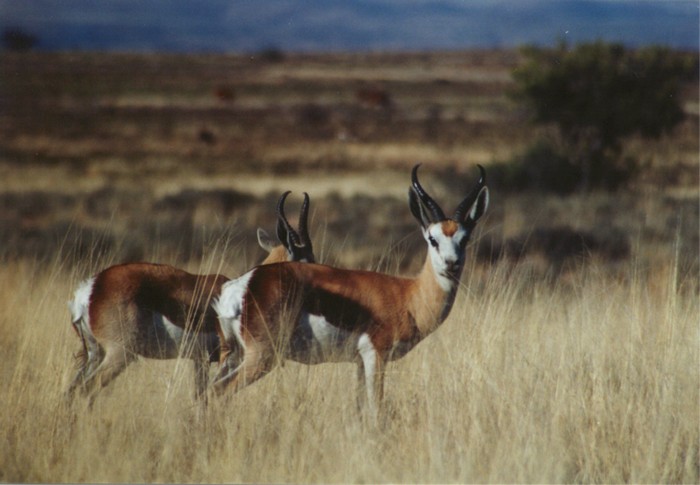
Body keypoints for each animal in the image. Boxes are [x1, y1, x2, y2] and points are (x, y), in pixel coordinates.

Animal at [67, 191, 314, 402]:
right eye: (309, 260)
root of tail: (90, 288)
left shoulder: (199, 360)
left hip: (94, 354)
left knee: (70, 391)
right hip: (118, 355)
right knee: (86, 390)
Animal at [211, 164, 490, 418]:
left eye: (464, 239)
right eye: (433, 239)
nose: (451, 263)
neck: (408, 295)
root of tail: (242, 286)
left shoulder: (358, 362)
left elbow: (360, 409)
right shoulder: (375, 355)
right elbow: (376, 410)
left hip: (233, 355)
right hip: (261, 357)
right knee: (219, 391)